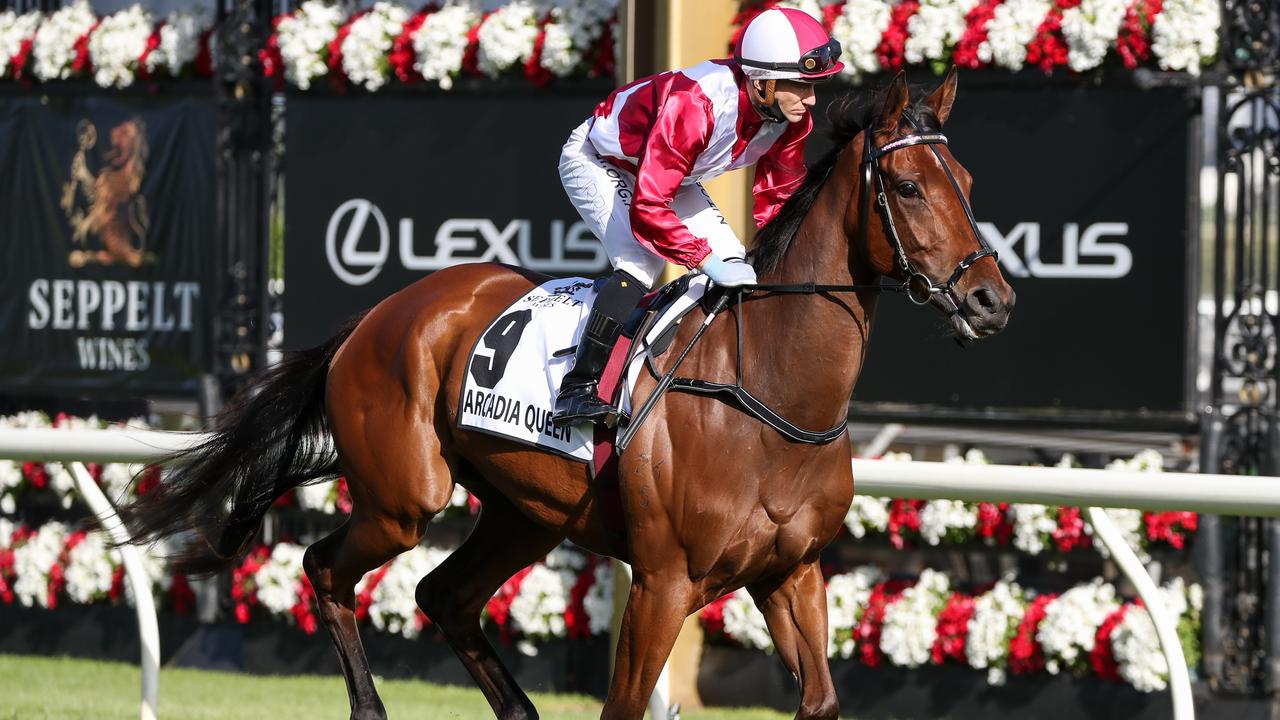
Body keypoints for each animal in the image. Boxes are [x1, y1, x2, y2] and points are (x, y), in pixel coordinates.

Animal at [124, 71, 1013, 717]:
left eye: (968, 179)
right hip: (405, 498)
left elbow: (821, 701)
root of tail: (375, 317)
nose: (991, 300)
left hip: (523, 513)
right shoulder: (662, 584)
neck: (769, 398)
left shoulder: (789, 573)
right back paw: (370, 707)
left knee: (444, 596)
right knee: (325, 567)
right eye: (907, 185)